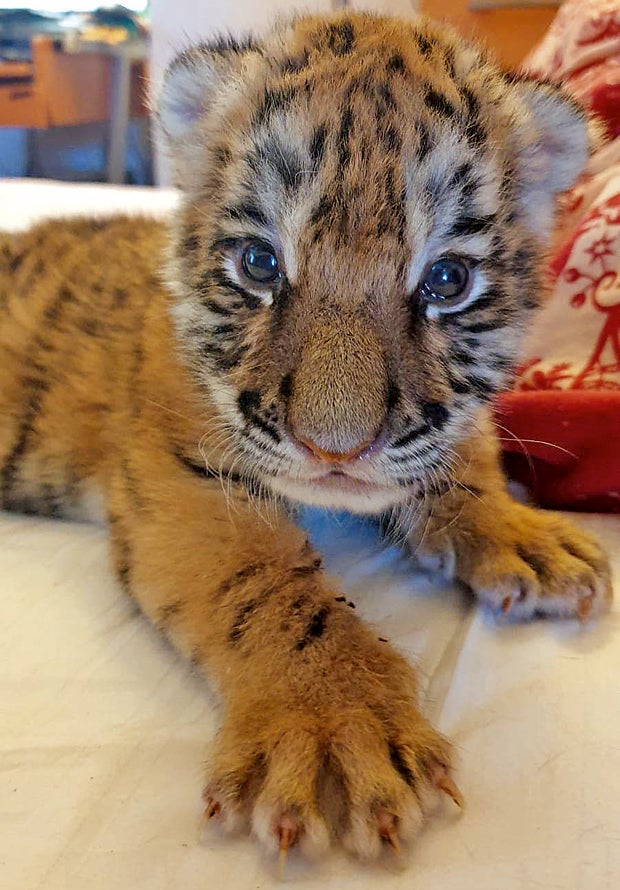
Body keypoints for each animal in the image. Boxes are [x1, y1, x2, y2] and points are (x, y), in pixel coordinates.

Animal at [0, 10, 612, 865]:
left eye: (447, 281)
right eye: (260, 263)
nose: (335, 451)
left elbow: (459, 451)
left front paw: (525, 537)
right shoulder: (181, 471)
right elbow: (266, 582)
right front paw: (331, 727)